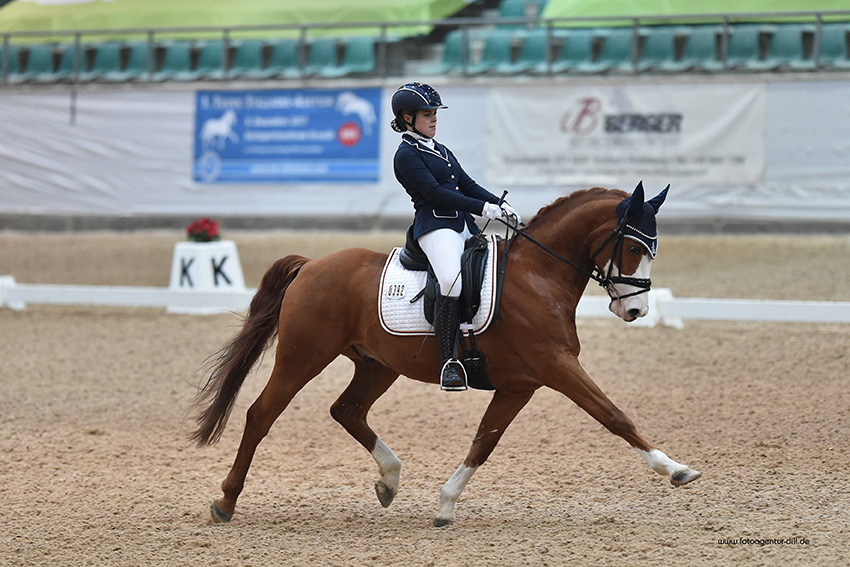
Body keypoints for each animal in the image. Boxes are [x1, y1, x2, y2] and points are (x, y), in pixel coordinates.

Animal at [194, 184, 704, 524]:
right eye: (635, 245)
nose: (636, 310)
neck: (540, 274)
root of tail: (311, 265)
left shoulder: (521, 384)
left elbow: (485, 441)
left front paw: (445, 504)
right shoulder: (557, 366)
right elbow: (614, 416)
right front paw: (676, 470)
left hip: (378, 365)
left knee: (347, 410)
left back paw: (390, 479)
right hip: (303, 357)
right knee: (261, 414)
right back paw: (226, 502)